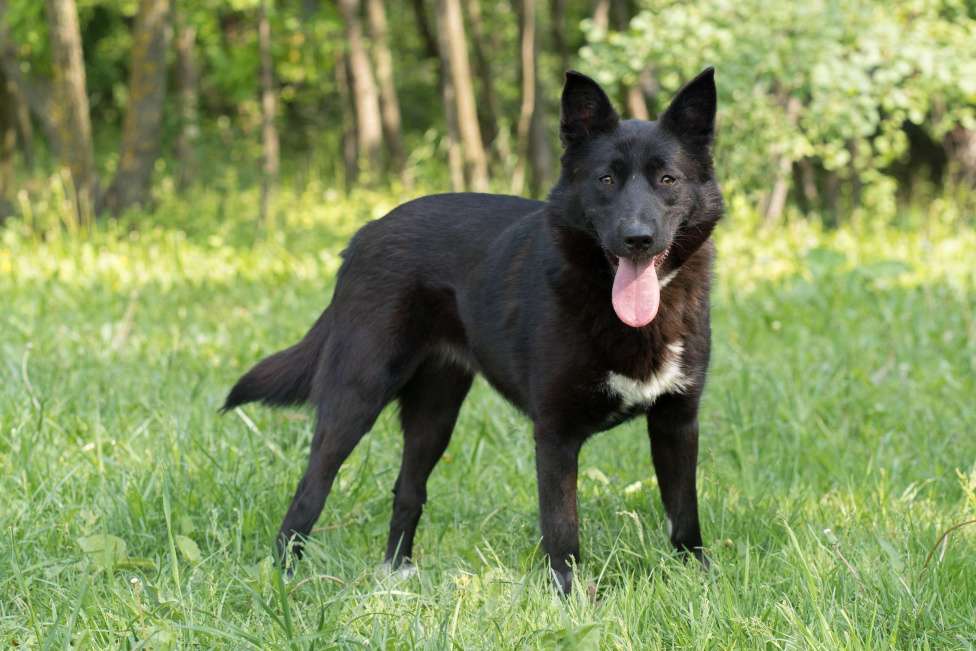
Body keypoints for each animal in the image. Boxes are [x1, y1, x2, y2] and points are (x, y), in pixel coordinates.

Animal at [223, 67, 724, 596]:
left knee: (408, 489)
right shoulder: (555, 435)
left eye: (667, 179)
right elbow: (562, 530)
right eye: (606, 179)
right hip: (356, 397)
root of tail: (365, 233)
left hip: (436, 412)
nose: (637, 238)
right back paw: (283, 577)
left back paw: (395, 578)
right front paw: (570, 600)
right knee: (309, 491)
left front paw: (699, 582)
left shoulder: (676, 422)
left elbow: (684, 515)